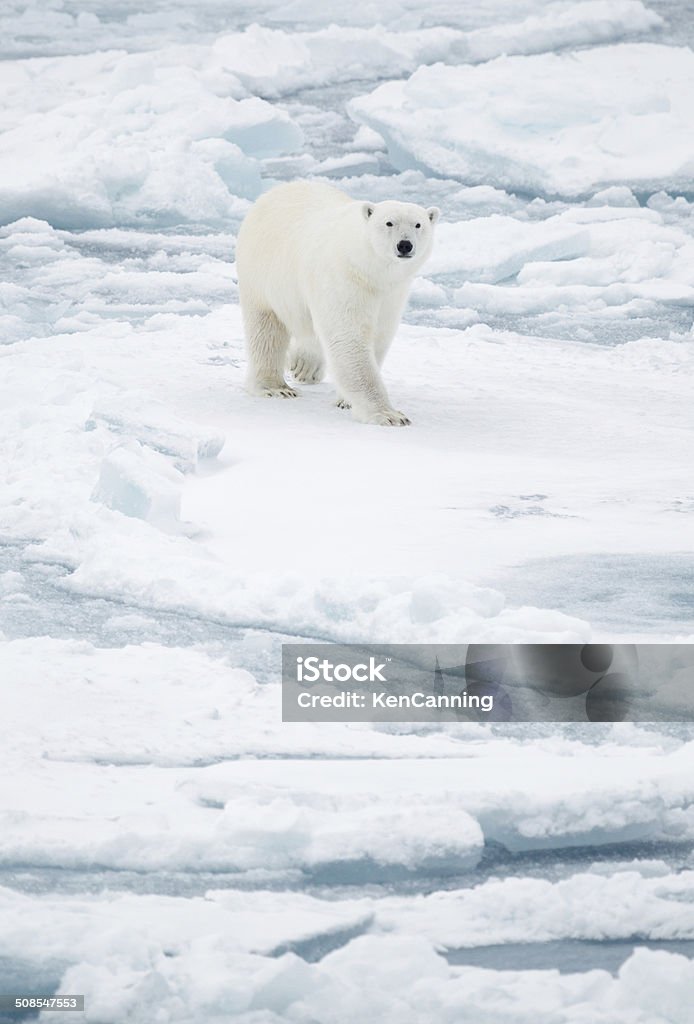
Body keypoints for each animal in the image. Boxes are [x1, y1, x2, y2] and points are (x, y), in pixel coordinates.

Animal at [233, 180, 440, 423]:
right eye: (389, 222)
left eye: (418, 224)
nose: (405, 245)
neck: (370, 269)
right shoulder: (345, 280)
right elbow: (348, 338)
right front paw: (389, 415)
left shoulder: (391, 294)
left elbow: (378, 337)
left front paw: (345, 401)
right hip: (262, 271)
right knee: (266, 330)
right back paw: (275, 387)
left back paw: (306, 367)